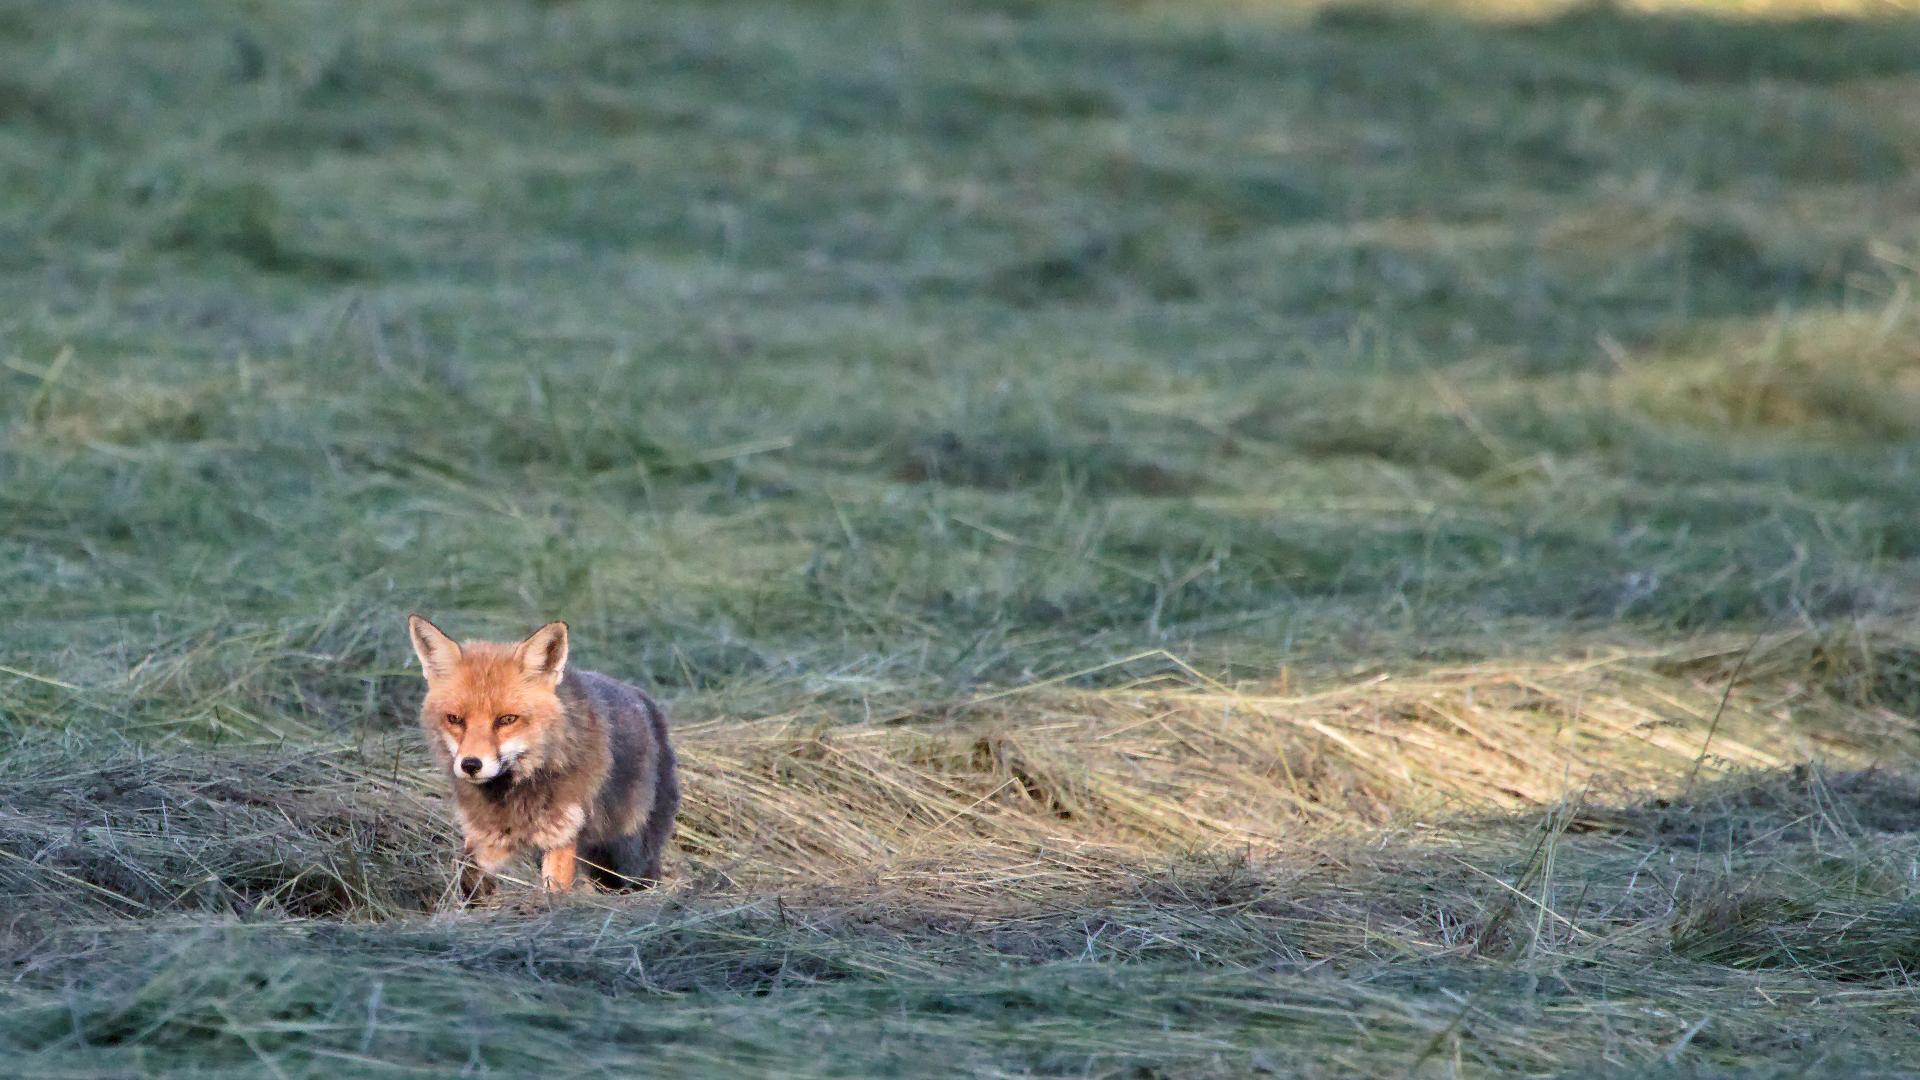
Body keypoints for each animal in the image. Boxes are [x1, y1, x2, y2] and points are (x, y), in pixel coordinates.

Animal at [406, 614, 679, 895]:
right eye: (455, 719)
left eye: (507, 719)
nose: (471, 765)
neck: (517, 791)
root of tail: (642, 696)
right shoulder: (484, 838)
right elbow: (469, 879)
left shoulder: (563, 835)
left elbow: (554, 892)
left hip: (628, 859)